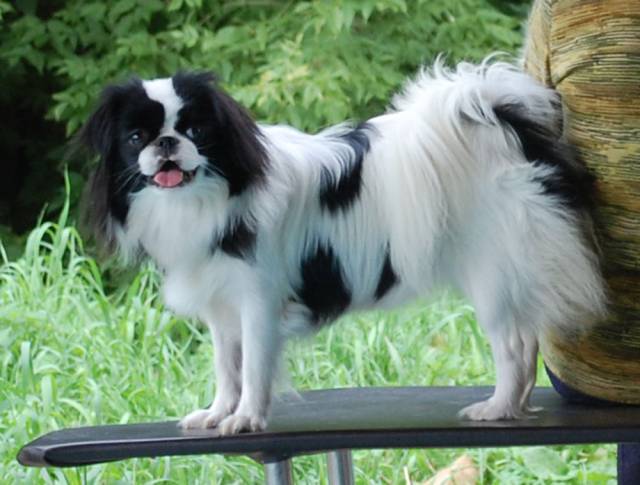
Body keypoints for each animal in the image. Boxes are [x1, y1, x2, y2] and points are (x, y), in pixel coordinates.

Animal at [80, 59, 606, 435]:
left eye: (195, 132)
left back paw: (497, 408)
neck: (204, 200)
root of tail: (503, 124)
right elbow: (227, 367)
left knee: (513, 346)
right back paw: (517, 406)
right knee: (528, 339)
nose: (166, 144)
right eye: (136, 138)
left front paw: (246, 419)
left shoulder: (258, 302)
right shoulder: (222, 306)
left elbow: (254, 368)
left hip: (491, 274)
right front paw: (217, 413)